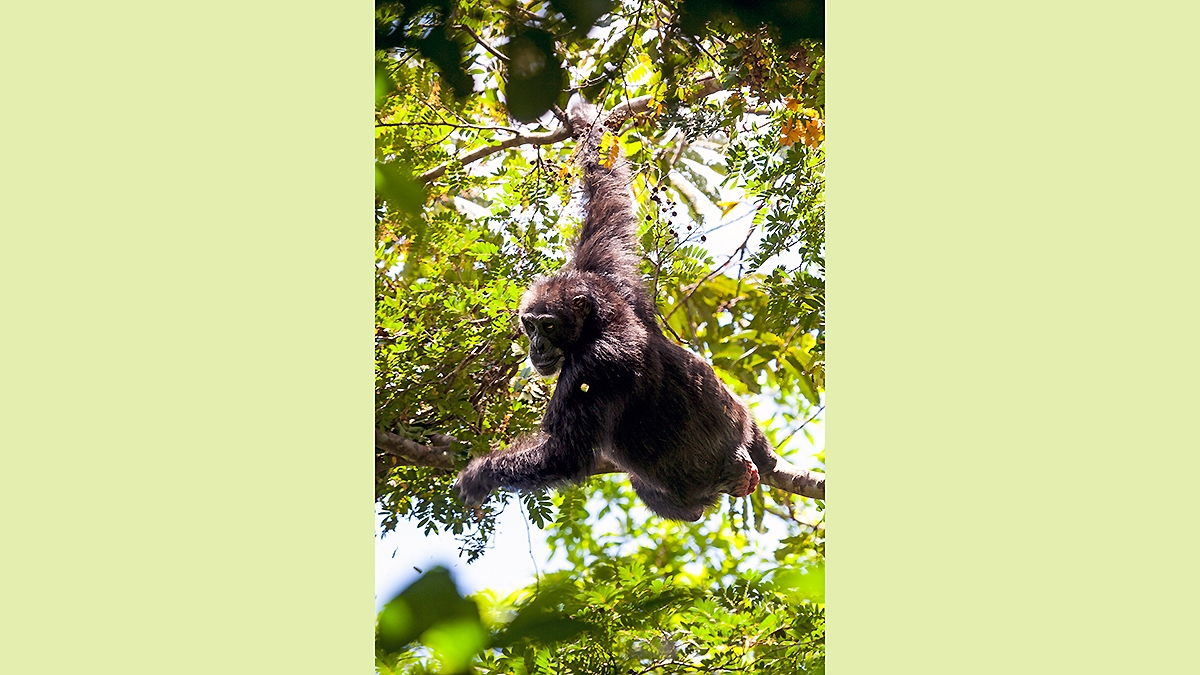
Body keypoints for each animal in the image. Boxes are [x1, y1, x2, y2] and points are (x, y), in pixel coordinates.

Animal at [454, 96, 790, 521]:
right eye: (529, 326)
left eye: (548, 326)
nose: (537, 347)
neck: (599, 319)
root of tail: (739, 456)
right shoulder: (605, 266)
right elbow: (607, 188)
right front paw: (583, 116)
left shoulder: (595, 366)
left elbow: (564, 454)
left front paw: (479, 473)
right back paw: (767, 457)